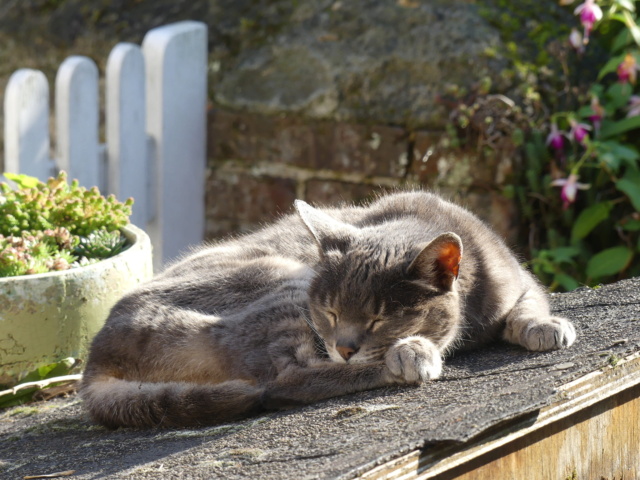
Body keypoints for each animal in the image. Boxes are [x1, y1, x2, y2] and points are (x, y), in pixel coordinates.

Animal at [80, 191, 576, 428]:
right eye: (331, 313)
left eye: (378, 317)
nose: (345, 347)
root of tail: (94, 359)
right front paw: (412, 349)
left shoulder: (519, 277)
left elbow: (529, 303)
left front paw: (546, 326)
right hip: (280, 279)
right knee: (286, 381)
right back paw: (410, 359)